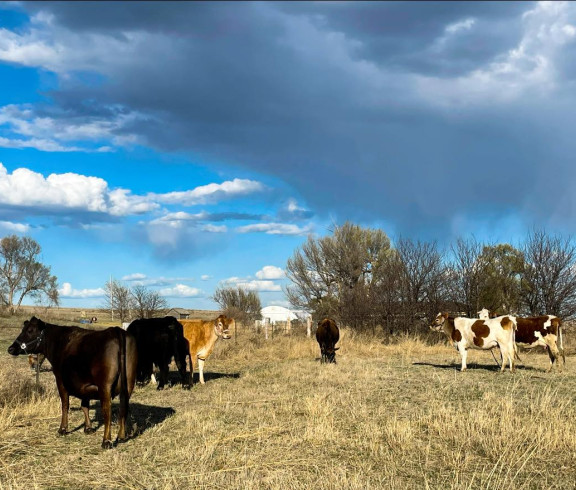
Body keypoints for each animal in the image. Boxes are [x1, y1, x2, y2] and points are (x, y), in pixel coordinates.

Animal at [8, 316, 137, 450]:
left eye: (30, 330)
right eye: (23, 329)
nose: (10, 348)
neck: (59, 342)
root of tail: (116, 330)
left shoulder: (60, 380)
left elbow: (65, 405)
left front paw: (63, 429)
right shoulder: (84, 385)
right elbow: (84, 405)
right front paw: (88, 428)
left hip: (105, 386)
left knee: (108, 411)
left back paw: (106, 441)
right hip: (129, 384)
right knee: (123, 408)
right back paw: (121, 436)